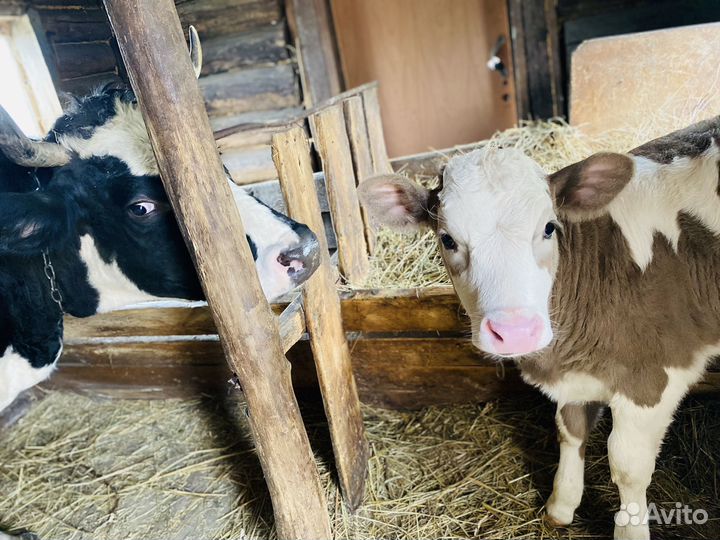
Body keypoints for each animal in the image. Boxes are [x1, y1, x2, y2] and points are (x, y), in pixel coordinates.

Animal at [359, 116, 720, 540]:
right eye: (447, 239)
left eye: (549, 228)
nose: (515, 331)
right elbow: (570, 428)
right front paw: (561, 505)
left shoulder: (654, 376)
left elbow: (628, 466)